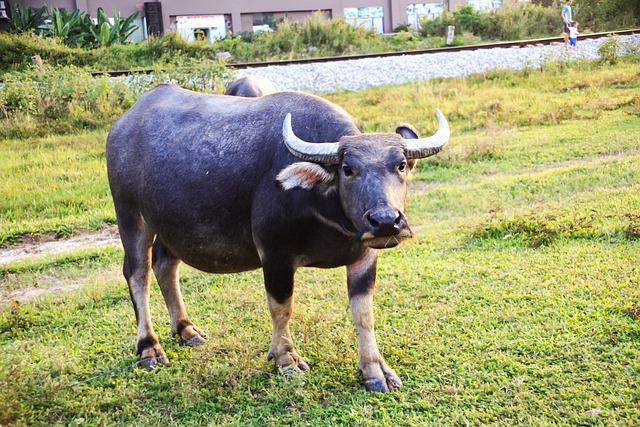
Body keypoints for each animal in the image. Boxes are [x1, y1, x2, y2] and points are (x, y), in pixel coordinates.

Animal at [105, 84, 450, 394]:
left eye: (400, 165)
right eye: (348, 168)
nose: (385, 221)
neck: (323, 205)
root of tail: (123, 125)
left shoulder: (364, 256)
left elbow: (364, 314)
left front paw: (375, 370)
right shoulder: (275, 255)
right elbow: (282, 308)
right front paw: (286, 358)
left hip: (171, 225)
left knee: (166, 267)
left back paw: (186, 330)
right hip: (130, 216)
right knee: (138, 274)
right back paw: (149, 348)